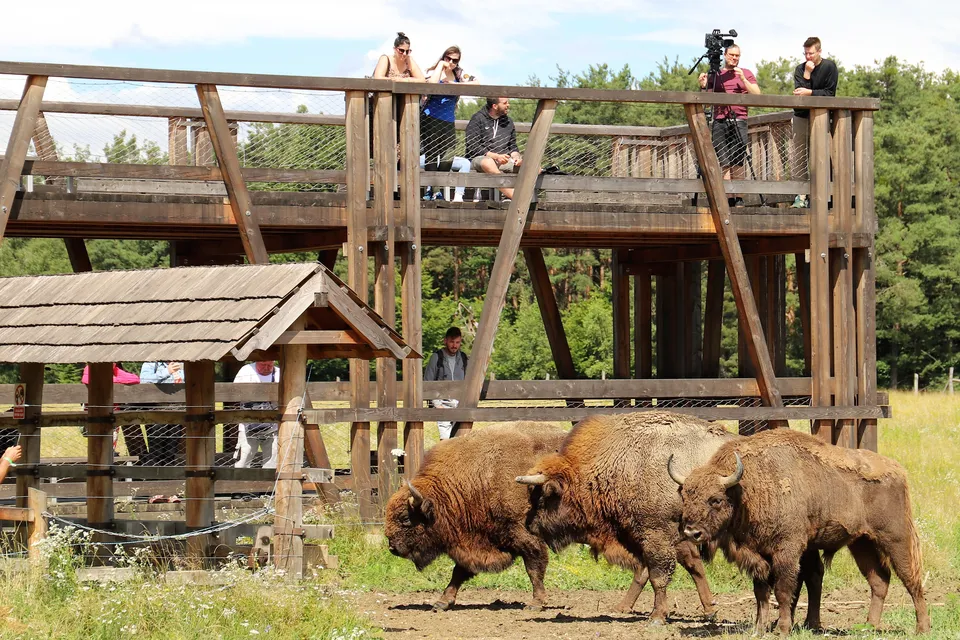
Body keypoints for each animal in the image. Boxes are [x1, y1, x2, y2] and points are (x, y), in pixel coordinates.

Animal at [385, 422, 566, 611]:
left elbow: (534, 568)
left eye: (405, 518)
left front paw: (536, 603)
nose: (392, 548)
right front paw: (442, 602)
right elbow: (458, 572)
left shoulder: (526, 537)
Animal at [517, 410, 736, 623]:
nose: (530, 524)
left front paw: (657, 617)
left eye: (543, 496)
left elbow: (658, 575)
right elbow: (667, 569)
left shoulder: (657, 536)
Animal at [671, 429, 930, 634]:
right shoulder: (758, 556)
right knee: (879, 580)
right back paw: (868, 626)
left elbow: (784, 589)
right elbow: (760, 592)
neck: (748, 488)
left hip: (896, 539)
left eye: (715, 499)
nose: (692, 532)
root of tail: (898, 469)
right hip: (861, 544)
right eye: (685, 496)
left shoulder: (787, 550)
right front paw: (759, 628)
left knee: (912, 579)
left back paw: (922, 628)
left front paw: (783, 628)